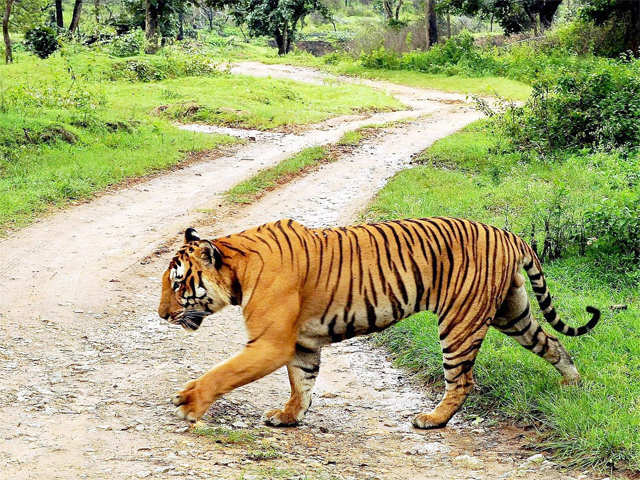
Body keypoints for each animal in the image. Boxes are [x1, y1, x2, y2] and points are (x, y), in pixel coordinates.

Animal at [156, 218, 600, 428]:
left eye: (178, 284)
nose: (161, 315)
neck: (237, 268)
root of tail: (510, 234)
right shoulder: (301, 343)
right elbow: (302, 382)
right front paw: (290, 416)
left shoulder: (270, 343)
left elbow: (221, 373)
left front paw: (190, 402)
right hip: (514, 312)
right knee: (554, 344)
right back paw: (572, 385)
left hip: (460, 322)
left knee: (462, 380)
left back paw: (433, 420)